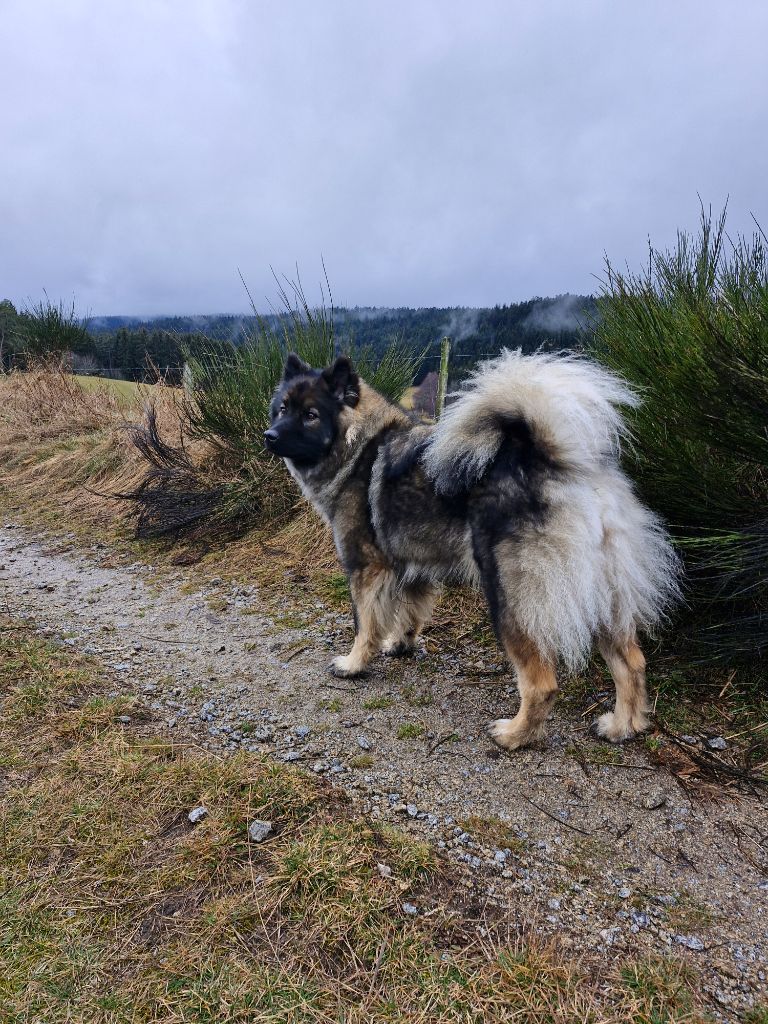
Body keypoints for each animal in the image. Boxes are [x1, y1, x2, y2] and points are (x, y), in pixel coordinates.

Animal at [264, 348, 679, 749]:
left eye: (311, 415)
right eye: (282, 408)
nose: (269, 435)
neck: (359, 444)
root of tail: (562, 467)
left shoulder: (366, 568)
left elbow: (365, 624)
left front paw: (353, 664)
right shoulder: (412, 567)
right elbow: (409, 613)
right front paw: (401, 643)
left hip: (511, 598)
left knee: (542, 683)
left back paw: (515, 736)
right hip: (607, 597)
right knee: (631, 664)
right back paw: (622, 727)